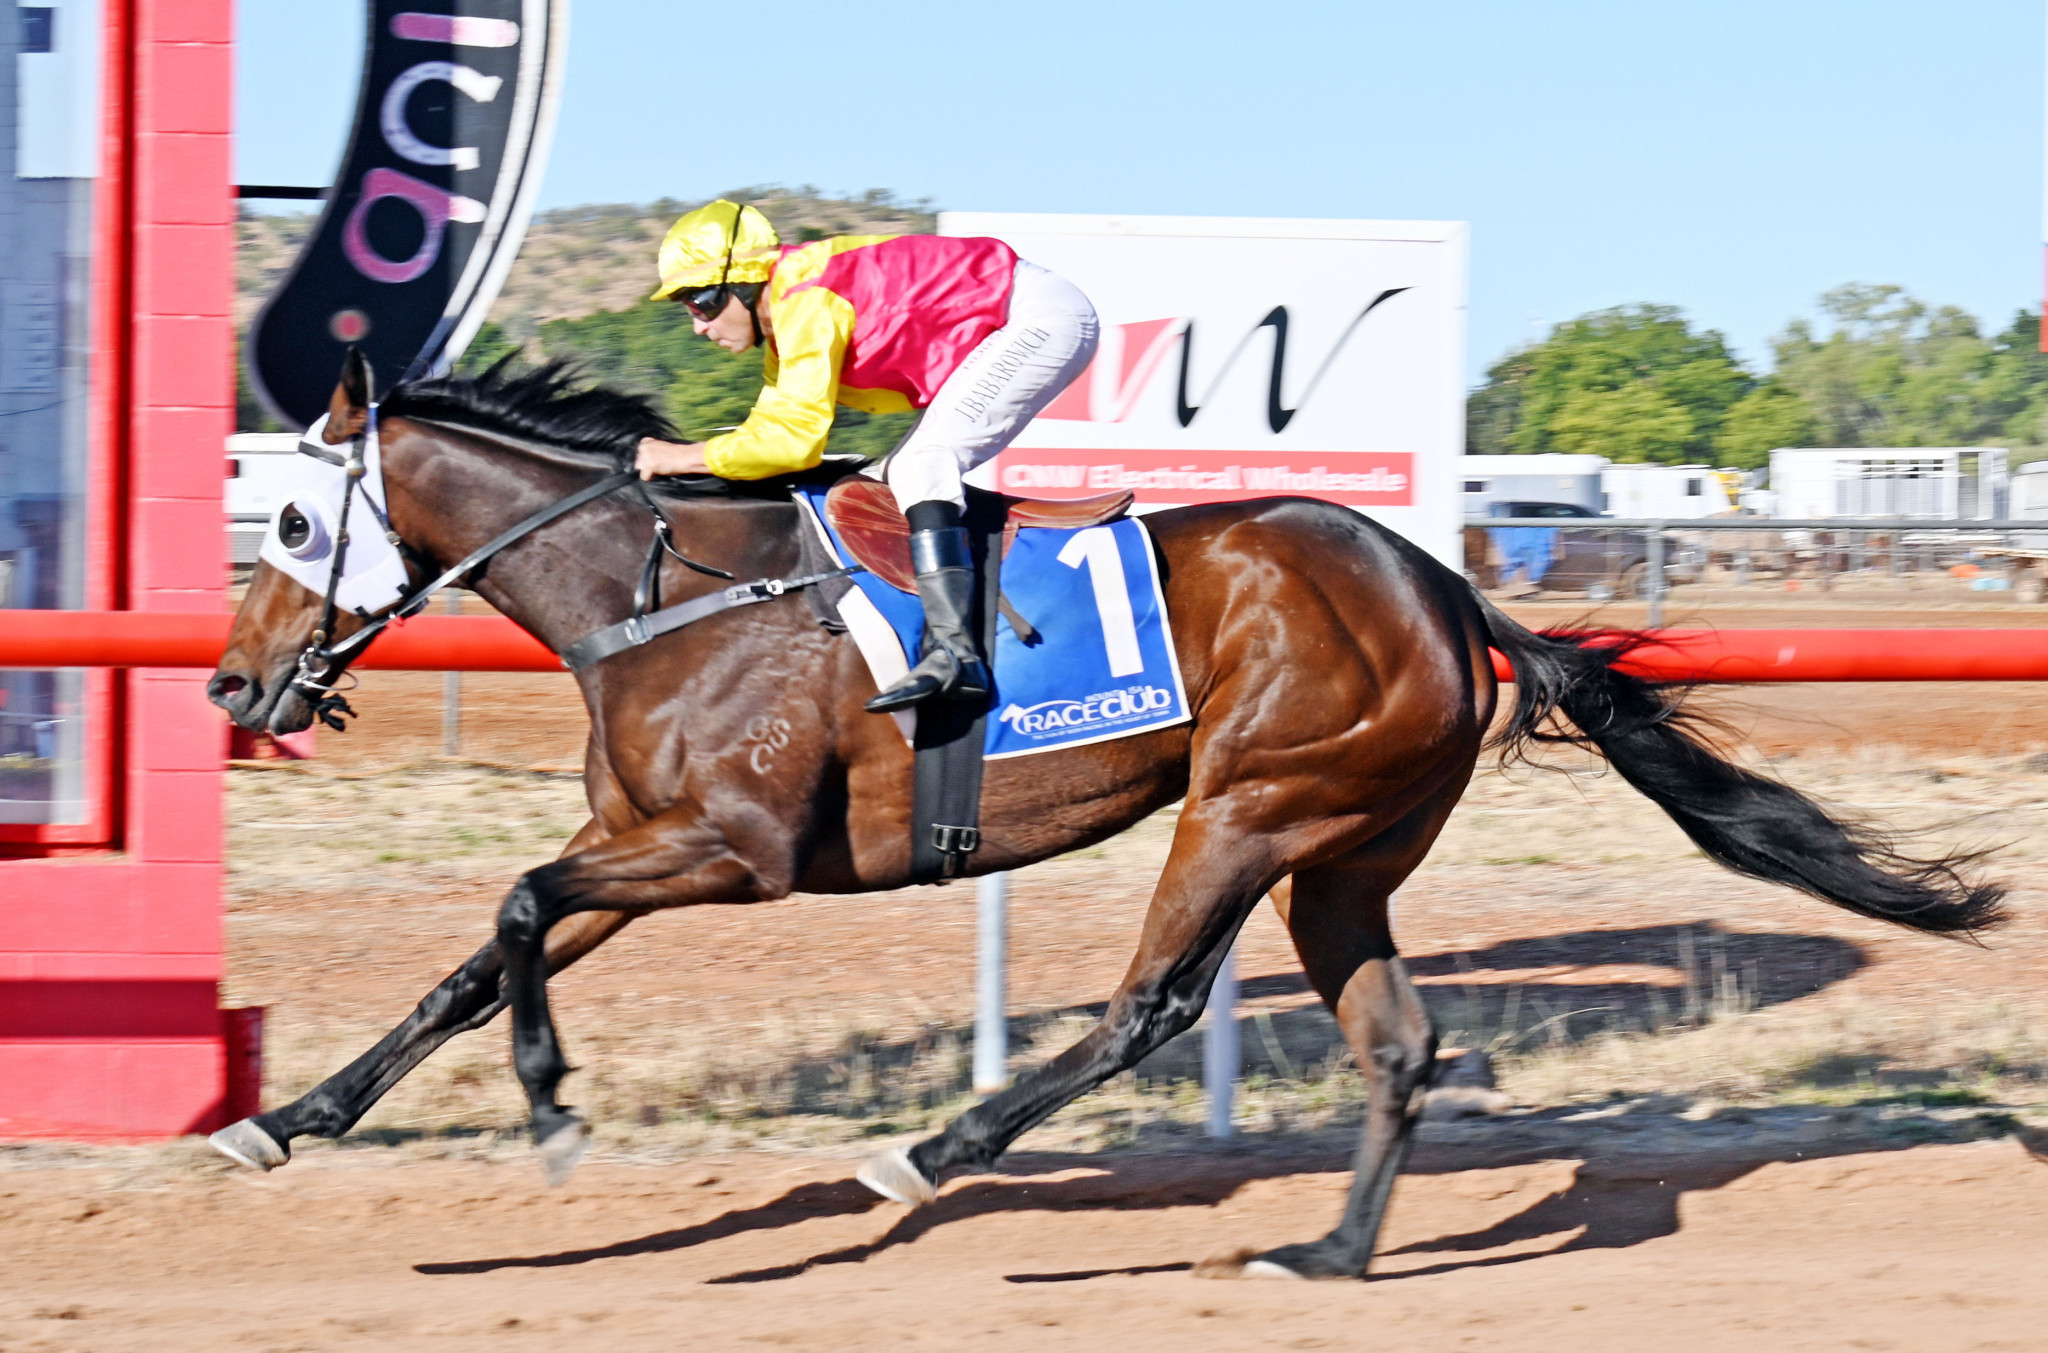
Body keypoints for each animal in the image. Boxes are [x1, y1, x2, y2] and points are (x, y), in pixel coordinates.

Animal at [207, 358, 1998, 1277]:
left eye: (292, 515)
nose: (233, 686)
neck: (664, 592)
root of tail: (1448, 588)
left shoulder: (735, 854)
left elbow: (511, 906)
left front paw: (556, 1111)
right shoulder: (647, 847)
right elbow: (476, 952)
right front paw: (281, 1118)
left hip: (1255, 804)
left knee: (1150, 1005)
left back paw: (930, 1152)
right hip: (1343, 853)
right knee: (1397, 1040)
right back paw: (1330, 1254)